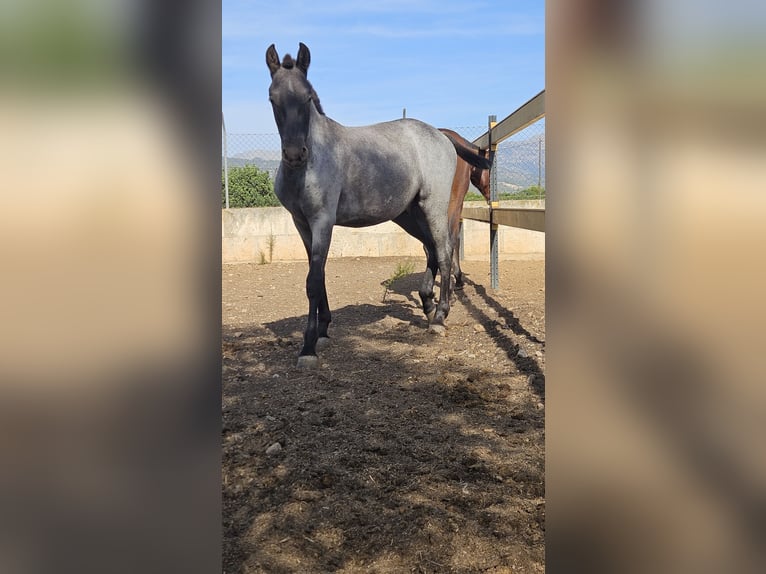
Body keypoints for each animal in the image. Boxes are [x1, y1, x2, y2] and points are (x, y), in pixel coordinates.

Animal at [264, 44, 492, 368]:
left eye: (307, 97)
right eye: (273, 98)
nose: (295, 154)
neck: (313, 162)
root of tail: (442, 135)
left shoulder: (322, 221)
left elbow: (313, 280)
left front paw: (308, 347)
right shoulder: (302, 223)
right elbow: (317, 275)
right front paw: (322, 330)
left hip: (434, 207)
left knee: (445, 251)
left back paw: (439, 317)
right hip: (409, 215)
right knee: (432, 249)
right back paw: (427, 304)